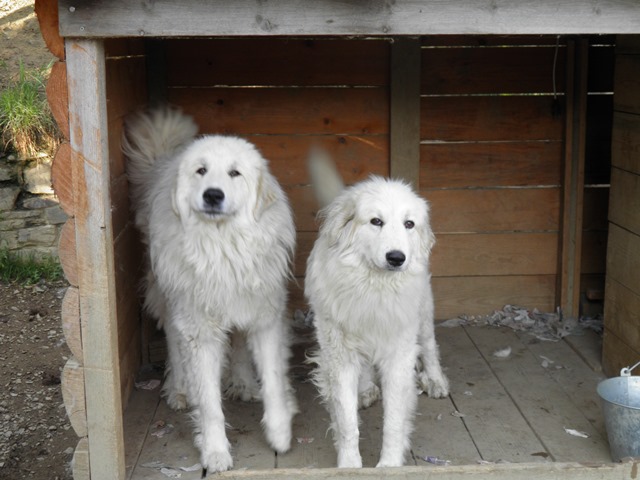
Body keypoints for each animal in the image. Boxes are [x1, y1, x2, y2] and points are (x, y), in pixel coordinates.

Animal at [122, 106, 298, 472]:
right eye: (201, 171)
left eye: (235, 173)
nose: (213, 194)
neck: (224, 247)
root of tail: (166, 161)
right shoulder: (200, 330)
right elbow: (209, 404)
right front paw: (215, 451)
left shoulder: (264, 318)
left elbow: (273, 381)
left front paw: (279, 433)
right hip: (168, 297)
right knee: (173, 342)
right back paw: (178, 388)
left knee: (239, 342)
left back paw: (243, 382)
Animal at [304, 151, 450, 468]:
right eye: (376, 221)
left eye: (409, 224)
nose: (396, 258)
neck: (374, 289)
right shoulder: (340, 356)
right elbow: (347, 422)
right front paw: (349, 466)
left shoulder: (398, 355)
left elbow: (393, 421)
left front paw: (389, 466)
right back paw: (366, 387)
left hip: (422, 313)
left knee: (430, 345)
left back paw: (435, 379)